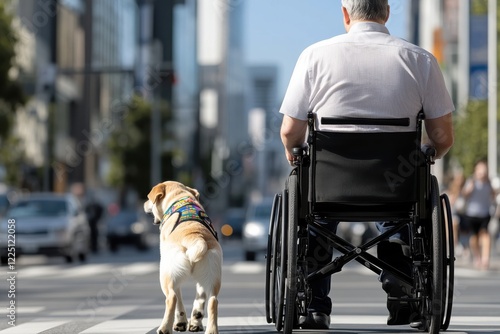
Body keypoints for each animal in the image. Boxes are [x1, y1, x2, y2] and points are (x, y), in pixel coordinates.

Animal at [145, 183, 223, 334]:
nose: (145, 204)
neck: (180, 197)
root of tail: (195, 236)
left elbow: (178, 299)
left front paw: (181, 323)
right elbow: (199, 300)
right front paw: (195, 323)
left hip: (166, 273)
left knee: (172, 298)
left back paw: (164, 328)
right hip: (212, 274)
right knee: (212, 301)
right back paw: (211, 330)